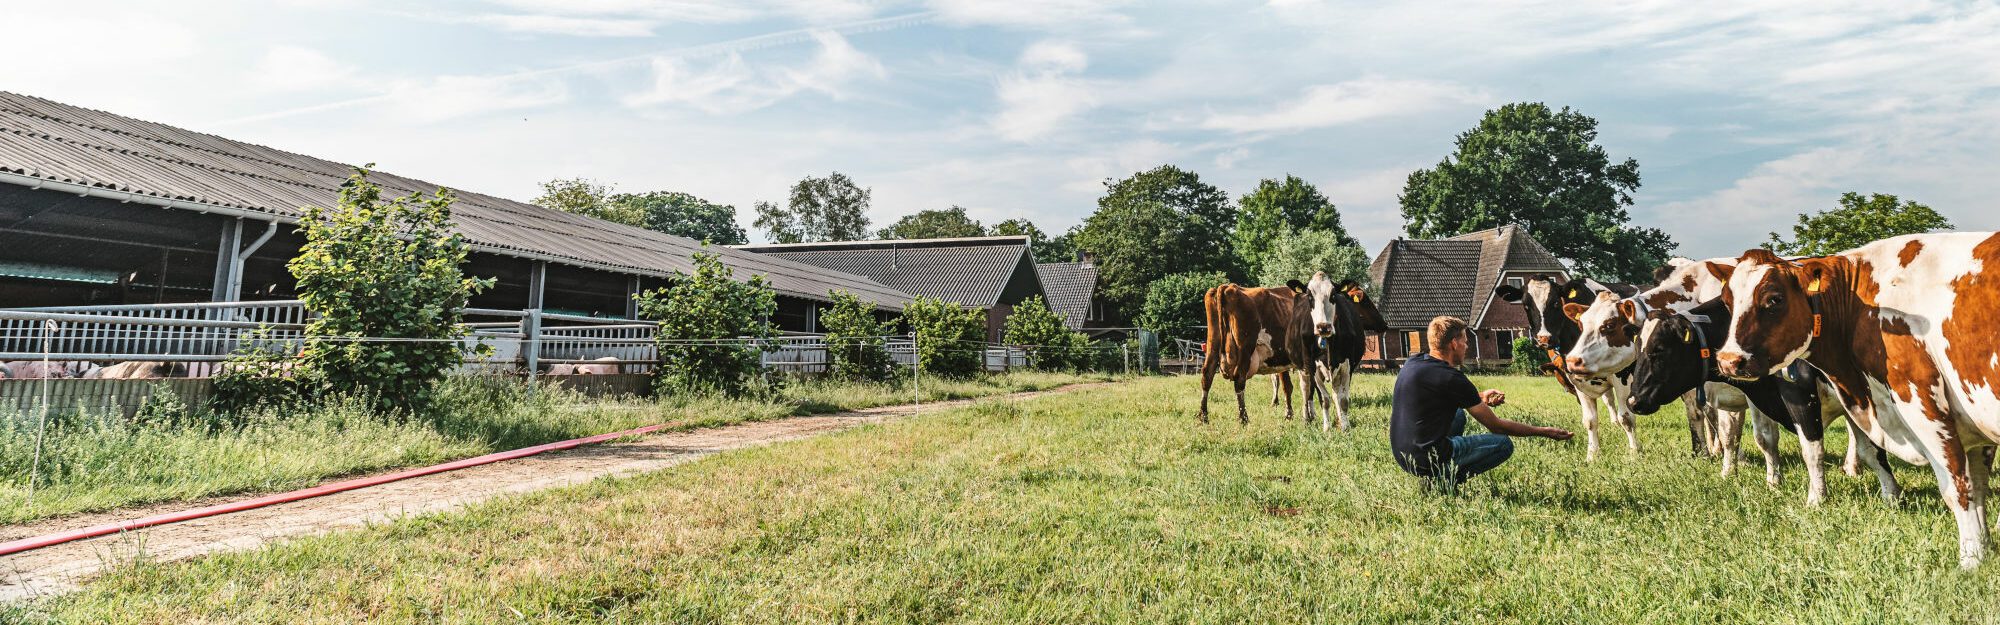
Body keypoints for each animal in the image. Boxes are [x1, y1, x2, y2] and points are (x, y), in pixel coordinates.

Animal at [1712, 234, 2000, 564]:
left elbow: (1957, 487)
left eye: (1774, 299)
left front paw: (1971, 559)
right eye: (1727, 301)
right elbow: (1977, 485)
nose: (1728, 360)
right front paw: (1984, 547)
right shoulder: (1972, 420)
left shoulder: (1922, 404)